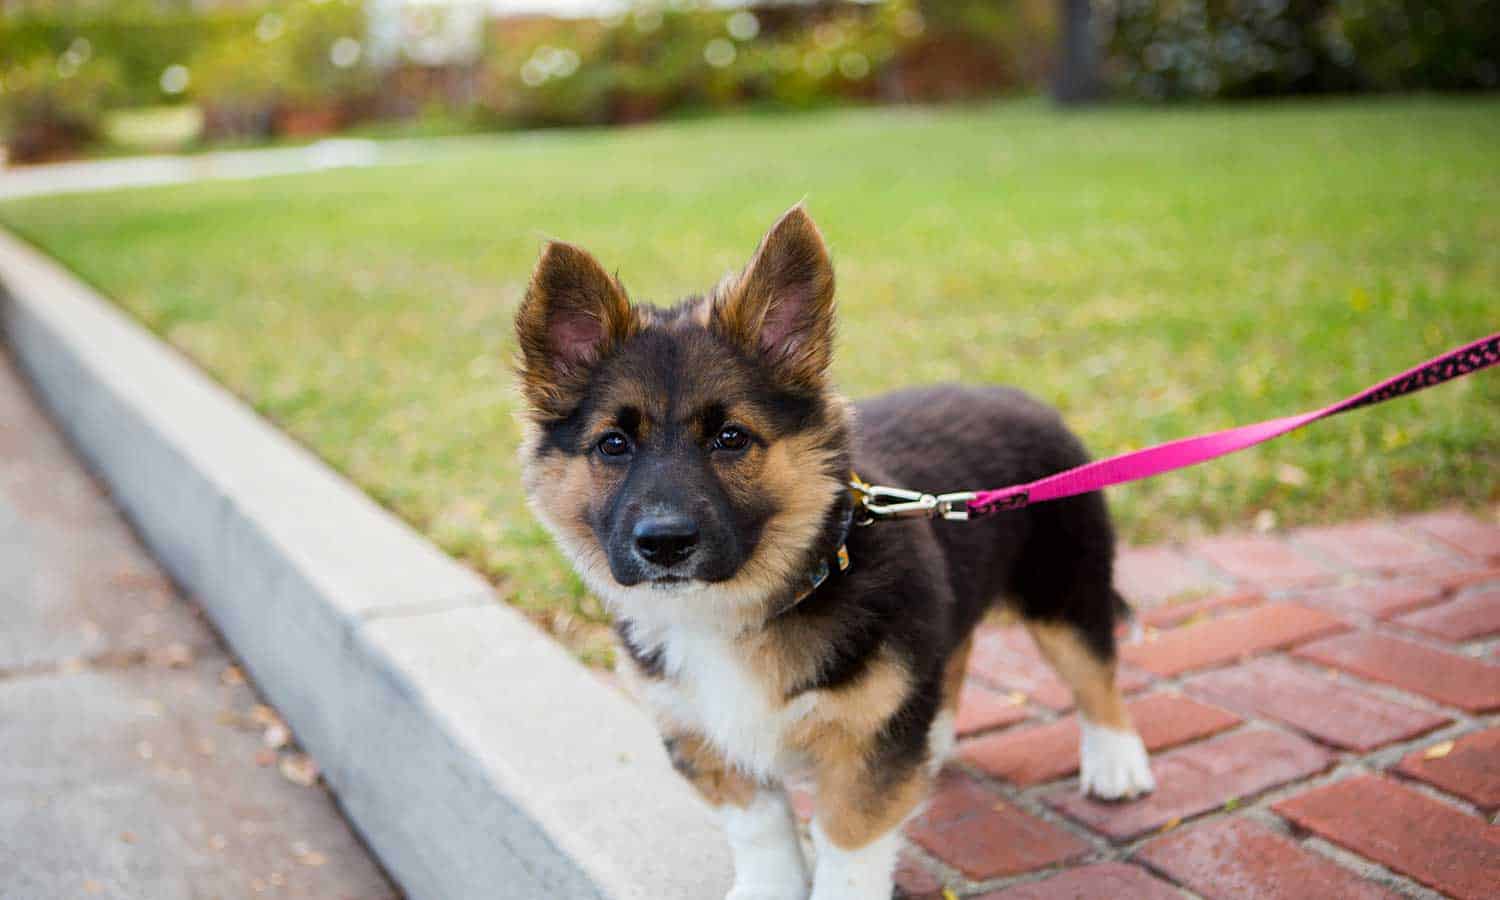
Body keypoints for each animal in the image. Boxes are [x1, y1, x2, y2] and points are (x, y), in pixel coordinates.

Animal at [522, 207, 1152, 894]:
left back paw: (1117, 763)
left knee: (1094, 671)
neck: (742, 607)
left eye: (730, 438)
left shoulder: (869, 742)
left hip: (1063, 590)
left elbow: (848, 843)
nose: (665, 543)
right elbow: (760, 828)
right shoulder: (702, 733)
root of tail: (1026, 399)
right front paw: (768, 889)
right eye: (612, 445)